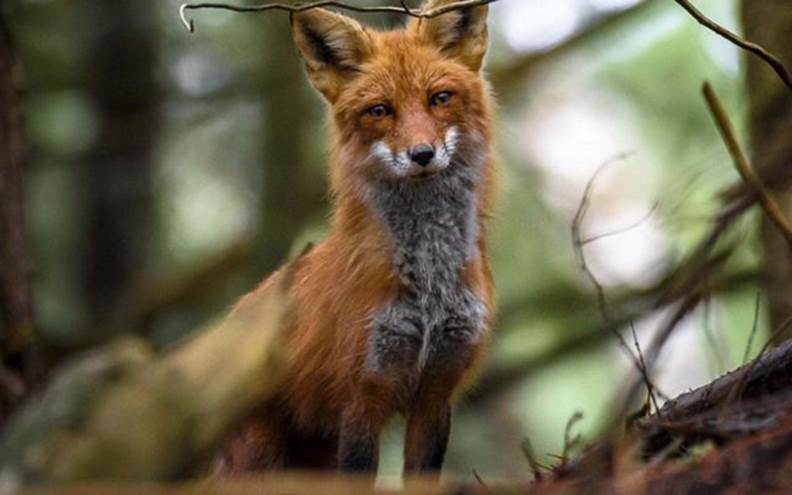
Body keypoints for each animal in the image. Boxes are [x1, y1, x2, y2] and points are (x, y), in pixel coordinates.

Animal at [217, 0, 496, 476]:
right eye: (380, 110)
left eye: (440, 98)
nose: (422, 154)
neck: (430, 290)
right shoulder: (362, 395)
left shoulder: (437, 391)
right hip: (258, 455)